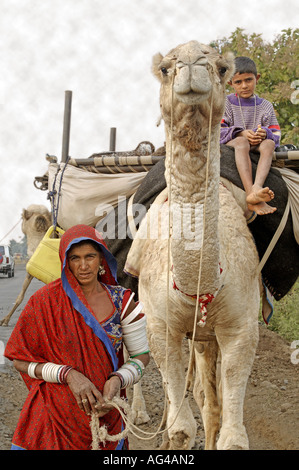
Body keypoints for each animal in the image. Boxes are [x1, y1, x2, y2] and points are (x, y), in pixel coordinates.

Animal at [125, 42, 262, 450]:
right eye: (165, 68)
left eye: (221, 67)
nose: (191, 66)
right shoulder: (159, 325)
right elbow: (182, 426)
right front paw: (171, 437)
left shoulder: (242, 327)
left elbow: (231, 431)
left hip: (207, 335)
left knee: (207, 396)